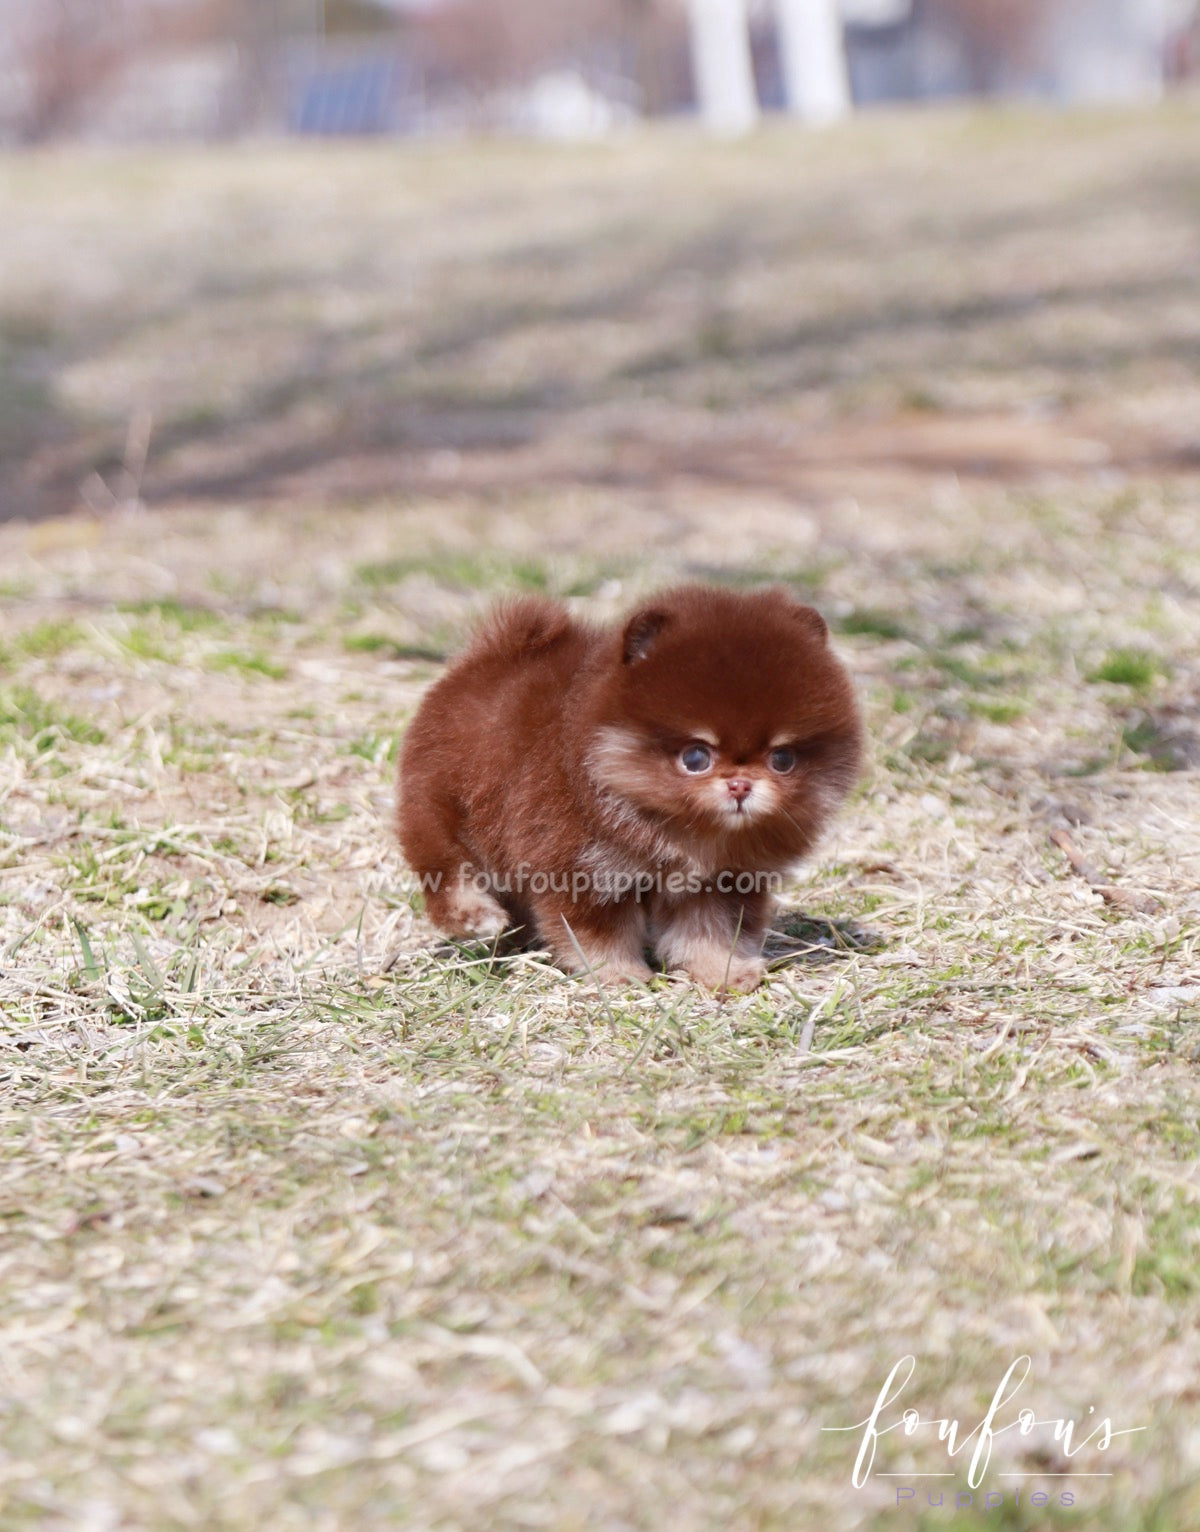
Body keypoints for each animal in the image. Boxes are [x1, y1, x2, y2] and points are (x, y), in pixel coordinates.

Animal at [398, 585, 858, 992]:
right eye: (696, 757)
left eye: (782, 759)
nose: (740, 785)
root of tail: (491, 654)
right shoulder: (585, 869)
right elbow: (600, 935)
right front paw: (620, 976)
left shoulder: (720, 881)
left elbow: (710, 932)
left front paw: (725, 973)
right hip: (440, 807)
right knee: (446, 871)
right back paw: (476, 916)